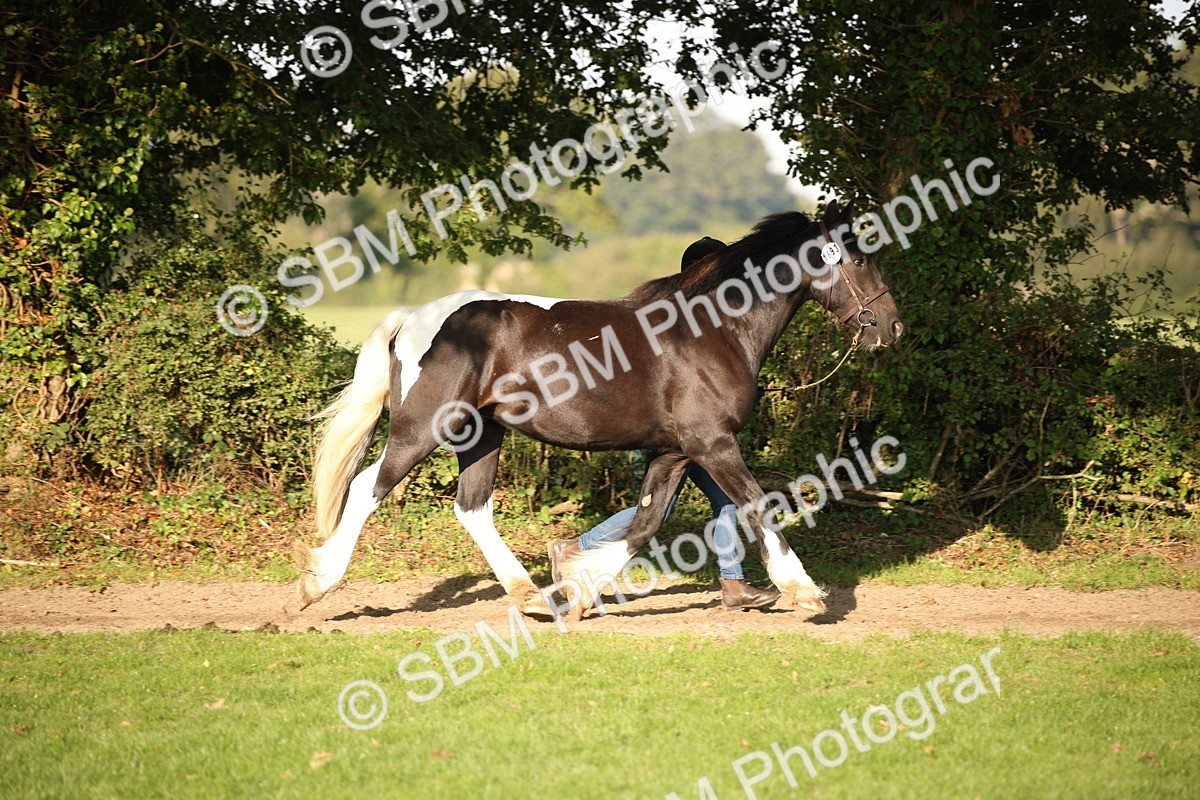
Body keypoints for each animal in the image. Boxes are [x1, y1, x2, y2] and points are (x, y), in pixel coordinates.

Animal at [295, 201, 903, 620]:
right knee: (367, 487)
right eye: (858, 258)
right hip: (423, 428)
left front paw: (580, 588)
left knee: (472, 508)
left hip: (482, 434)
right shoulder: (712, 443)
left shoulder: (673, 453)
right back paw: (315, 584)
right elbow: (755, 506)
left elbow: (645, 524)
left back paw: (532, 597)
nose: (893, 328)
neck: (715, 329)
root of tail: (413, 318)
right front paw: (805, 593)